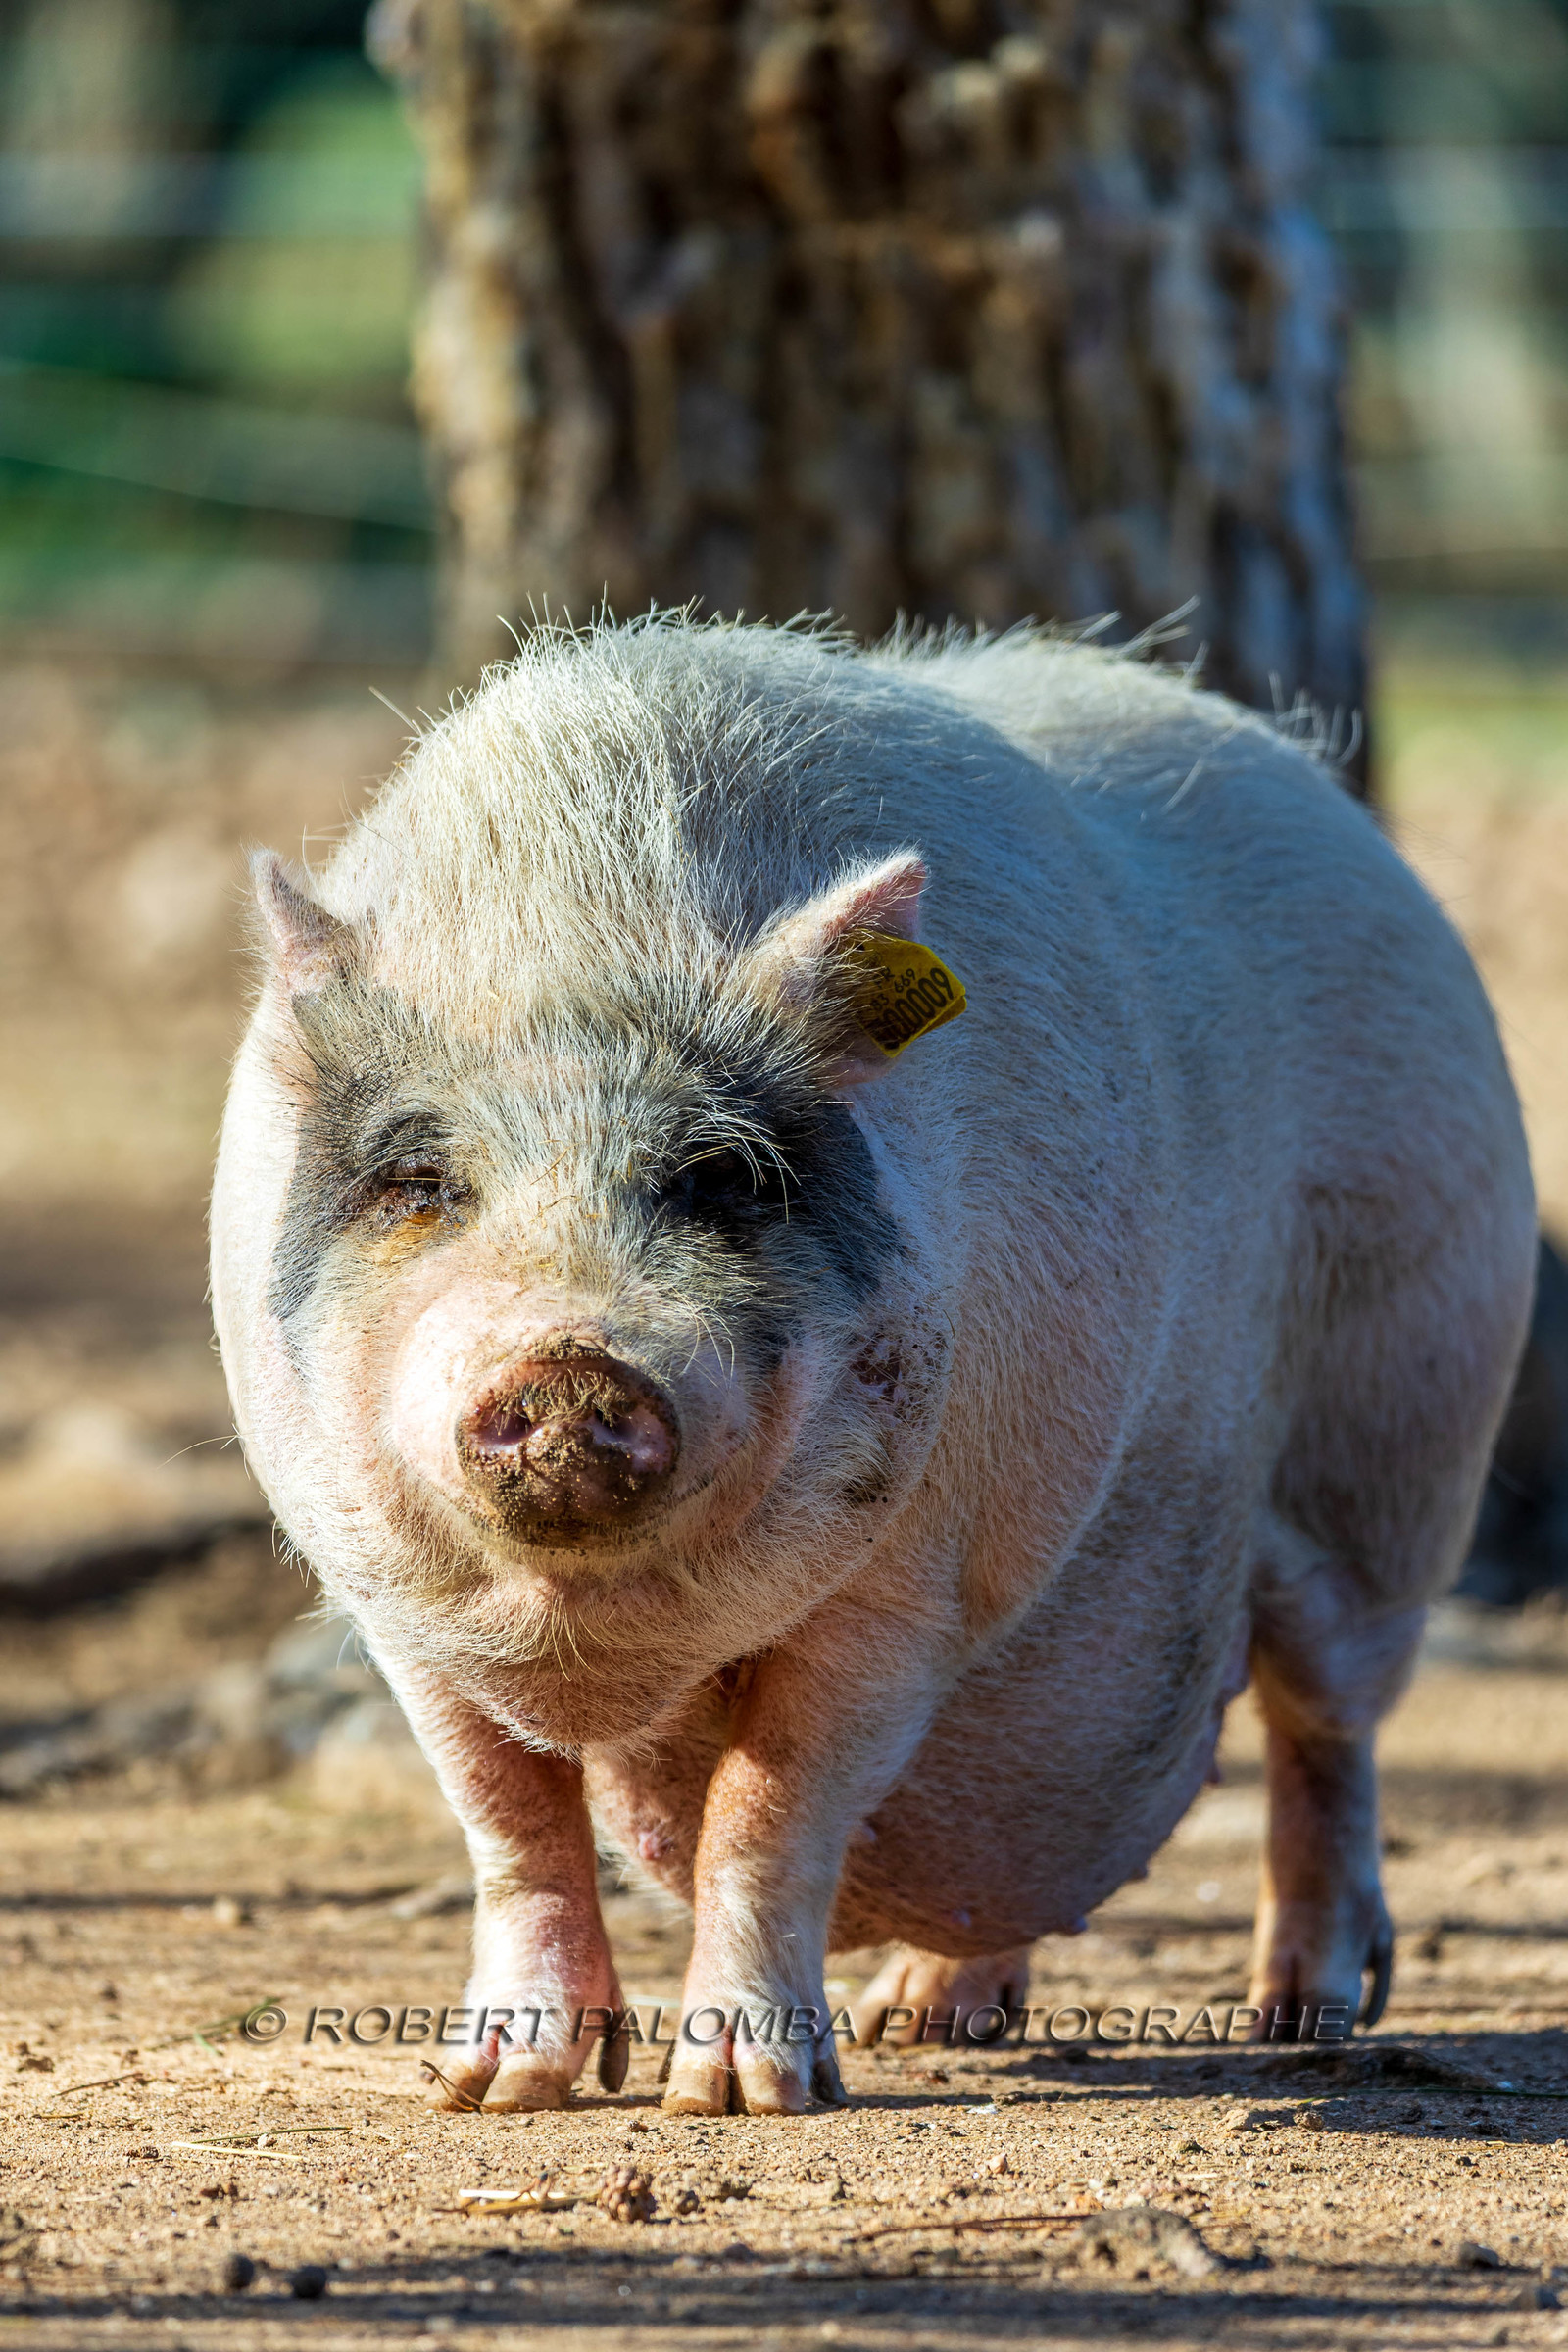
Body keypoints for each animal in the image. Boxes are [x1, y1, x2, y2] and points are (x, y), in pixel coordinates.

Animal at [211, 617, 1534, 2115]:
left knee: (1330, 1725)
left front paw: (743, 2101)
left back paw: (1303, 2016)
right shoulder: (387, 1601)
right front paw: (492, 2093)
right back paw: (922, 2022)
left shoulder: (911, 1582)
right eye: (419, 1182)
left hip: (1402, 1438)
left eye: (723, 1177)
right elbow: (511, 1821)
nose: (570, 1365)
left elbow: (767, 1809)